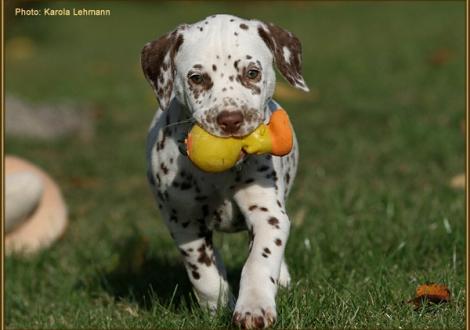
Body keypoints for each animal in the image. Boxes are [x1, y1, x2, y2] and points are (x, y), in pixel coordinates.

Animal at [140, 14, 308, 328]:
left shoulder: (267, 212)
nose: (230, 119)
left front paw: (254, 307)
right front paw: (218, 308)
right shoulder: (184, 222)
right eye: (197, 78)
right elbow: (204, 274)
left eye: (252, 73)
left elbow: (260, 260)